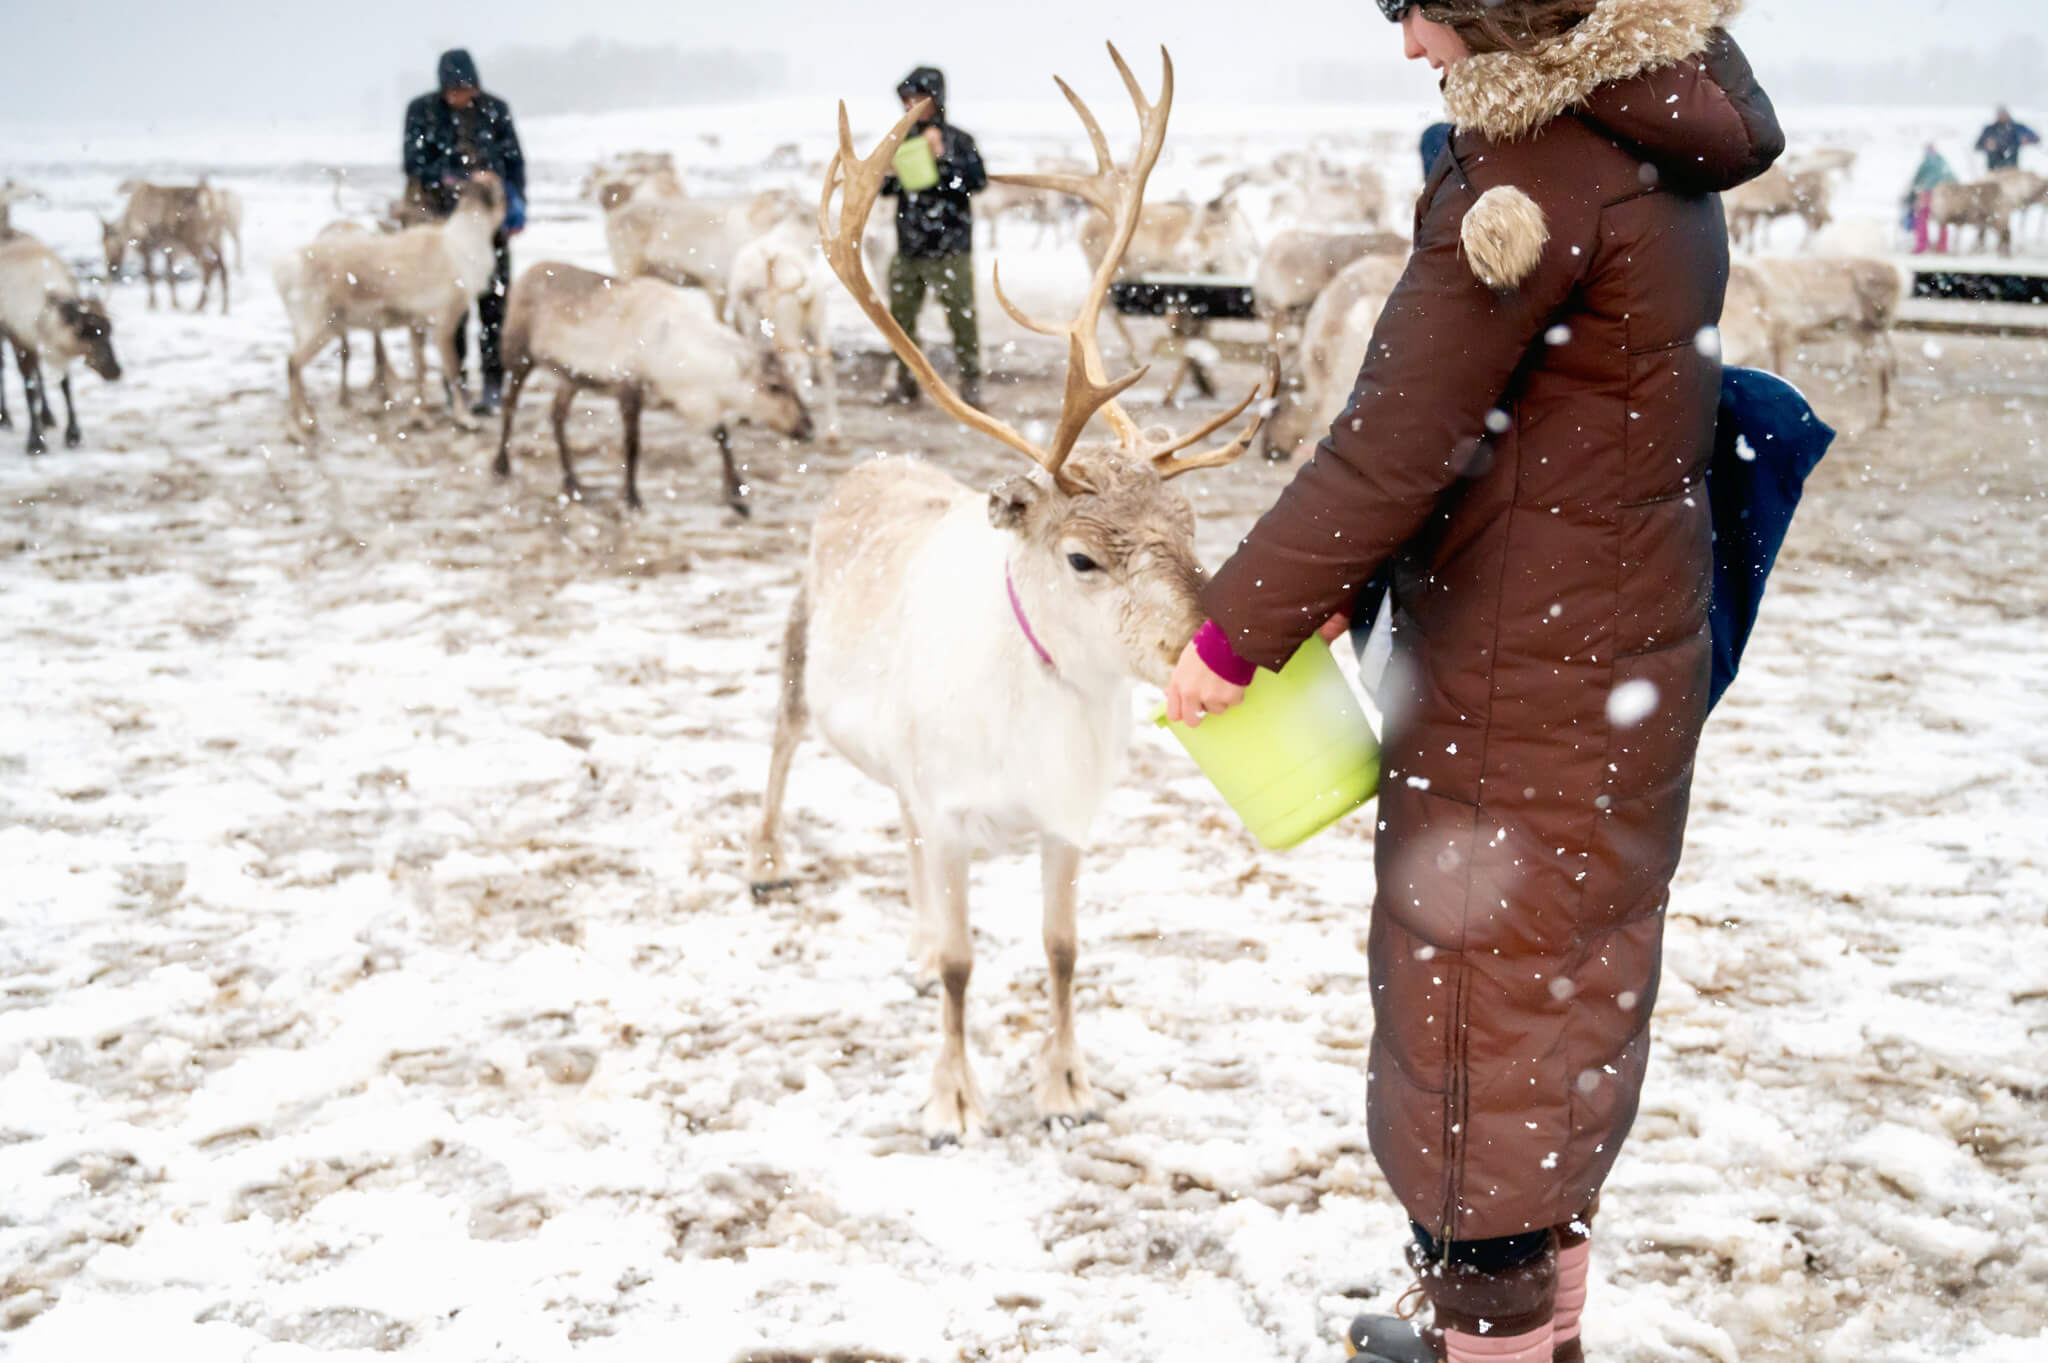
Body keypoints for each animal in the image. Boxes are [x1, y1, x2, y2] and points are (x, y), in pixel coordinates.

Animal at [748, 45, 1277, 1145]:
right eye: (1080, 558)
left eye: (1189, 525)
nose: (1203, 638)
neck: (1041, 707)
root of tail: (874, 464)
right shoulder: (951, 808)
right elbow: (964, 964)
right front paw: (952, 1099)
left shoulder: (1063, 821)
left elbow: (1061, 950)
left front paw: (1066, 1084)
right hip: (796, 642)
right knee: (779, 744)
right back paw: (765, 857)